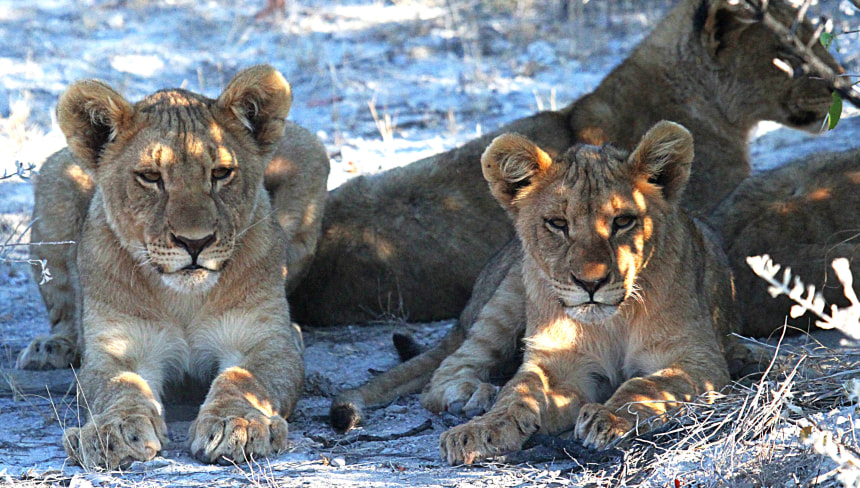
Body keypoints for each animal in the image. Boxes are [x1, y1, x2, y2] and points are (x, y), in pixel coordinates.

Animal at [19, 65, 328, 469]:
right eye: (151, 176)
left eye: (221, 173)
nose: (195, 242)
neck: (184, 300)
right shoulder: (118, 348)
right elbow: (119, 388)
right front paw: (116, 431)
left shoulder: (264, 343)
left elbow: (244, 379)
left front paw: (237, 424)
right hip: (55, 182)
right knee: (65, 313)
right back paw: (51, 348)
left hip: (309, 153)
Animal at [434, 121, 741, 464]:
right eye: (557, 223)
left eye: (623, 221)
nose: (591, 283)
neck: (612, 323)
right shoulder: (558, 365)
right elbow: (517, 393)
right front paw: (479, 430)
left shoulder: (699, 360)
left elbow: (646, 385)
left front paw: (608, 418)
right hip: (506, 299)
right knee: (445, 372)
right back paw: (475, 396)